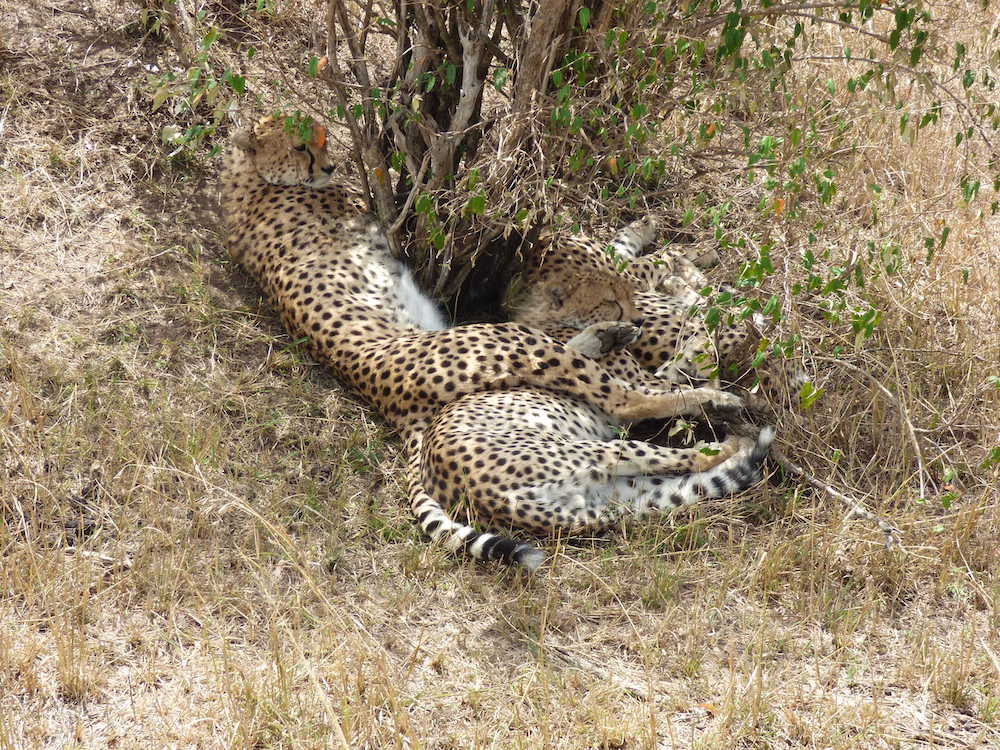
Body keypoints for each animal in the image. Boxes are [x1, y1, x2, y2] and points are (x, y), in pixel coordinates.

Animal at [221, 114, 772, 568]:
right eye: (301, 146)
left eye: (319, 138)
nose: (332, 163)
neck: (248, 177)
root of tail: (397, 411)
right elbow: (639, 269)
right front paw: (676, 262)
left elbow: (625, 258)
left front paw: (649, 235)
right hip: (519, 350)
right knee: (632, 401)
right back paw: (720, 407)